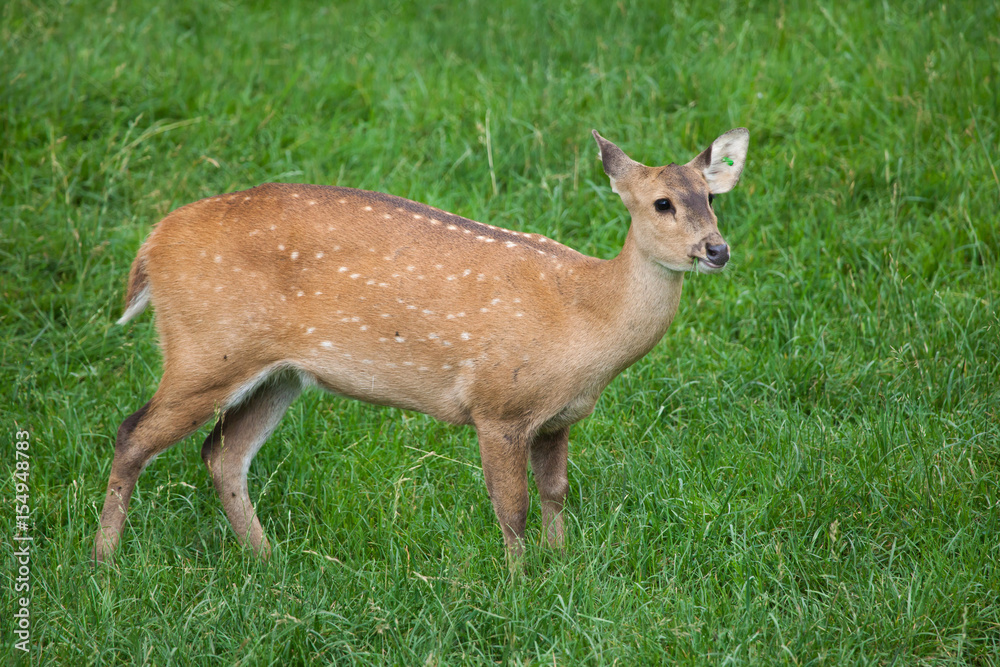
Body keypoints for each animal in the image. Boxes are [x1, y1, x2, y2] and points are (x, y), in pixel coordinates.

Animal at [95, 128, 752, 568]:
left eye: (711, 198)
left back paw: (268, 559)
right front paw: (520, 586)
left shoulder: (558, 419)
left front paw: (561, 566)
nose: (716, 249)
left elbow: (556, 494)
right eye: (662, 203)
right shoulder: (498, 405)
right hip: (205, 347)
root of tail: (152, 245)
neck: (588, 317)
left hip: (278, 372)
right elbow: (511, 508)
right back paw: (104, 564)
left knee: (222, 453)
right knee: (132, 434)